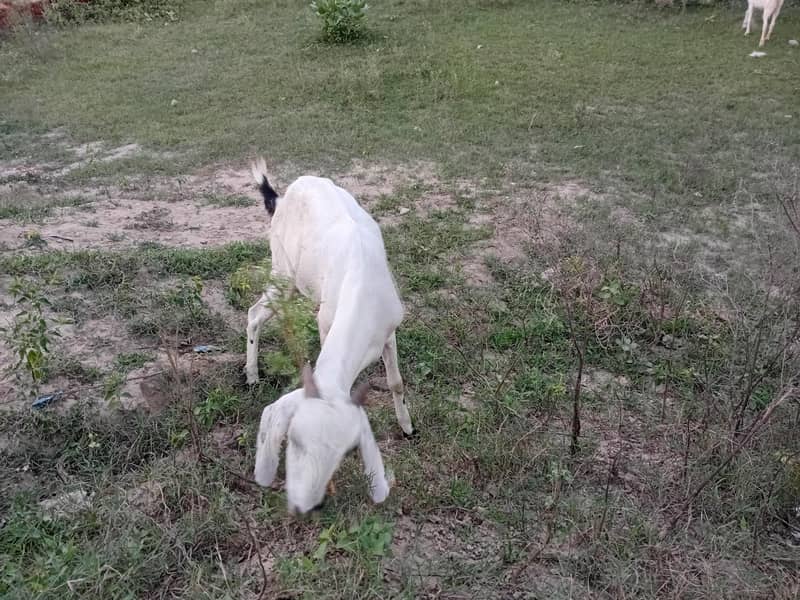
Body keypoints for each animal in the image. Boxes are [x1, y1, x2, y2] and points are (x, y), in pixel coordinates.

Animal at [246, 158, 413, 512]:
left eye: (339, 448)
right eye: (292, 442)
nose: (310, 501)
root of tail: (281, 198)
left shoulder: (390, 329)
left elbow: (395, 382)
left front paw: (407, 427)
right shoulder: (326, 324)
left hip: (290, 282)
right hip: (282, 269)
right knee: (254, 313)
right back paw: (251, 376)